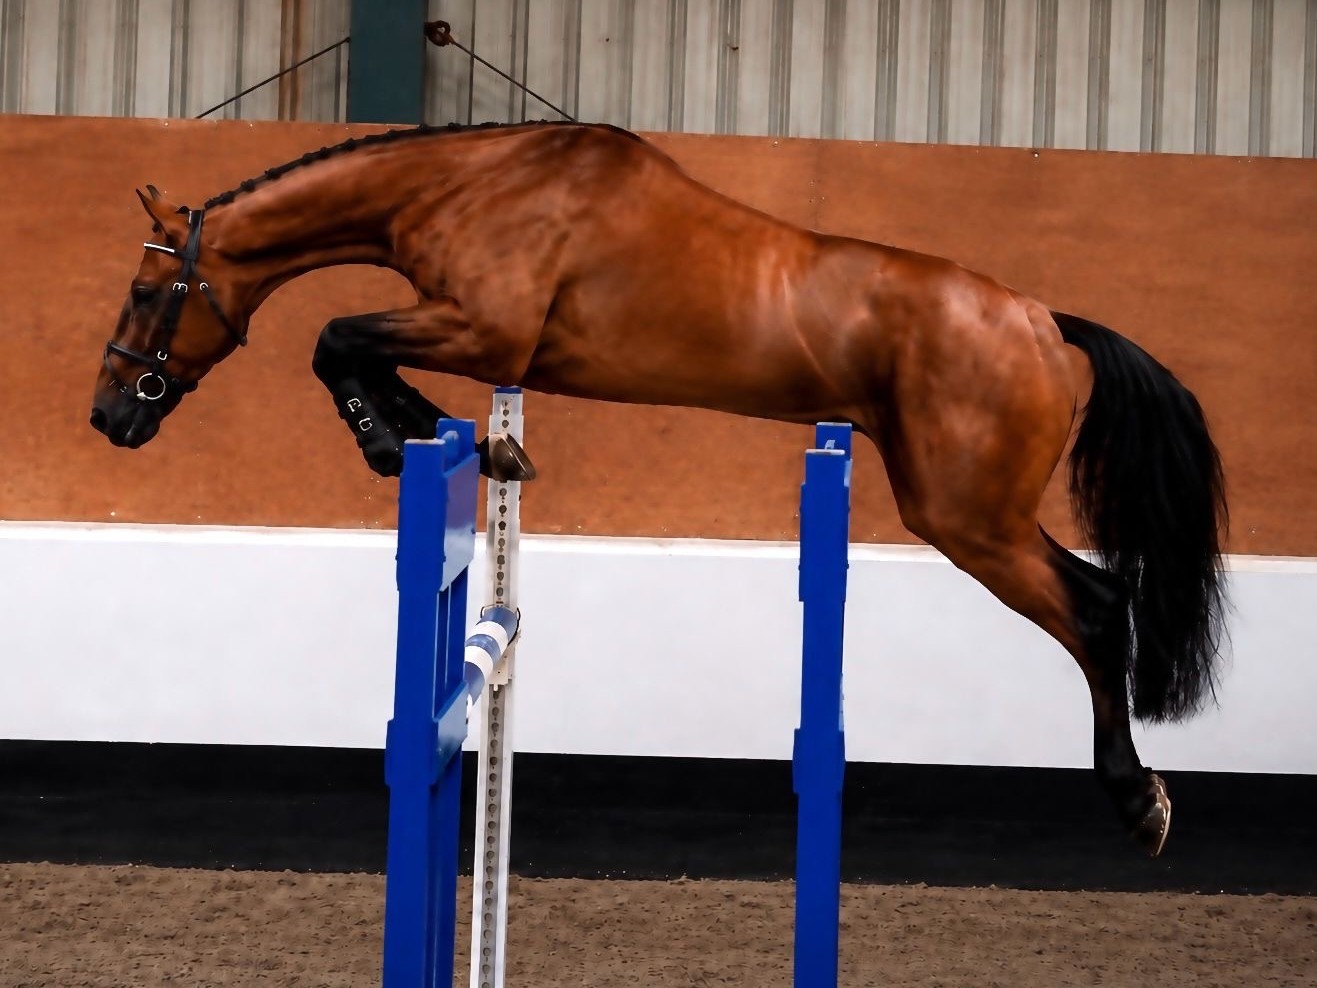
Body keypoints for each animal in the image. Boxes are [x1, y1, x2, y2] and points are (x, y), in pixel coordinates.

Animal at [91, 120, 1227, 857]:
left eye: (147, 291)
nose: (111, 416)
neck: (465, 183)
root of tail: (1038, 317)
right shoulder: (474, 337)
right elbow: (354, 346)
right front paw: (462, 441)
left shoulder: (484, 331)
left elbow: (336, 338)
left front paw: (396, 431)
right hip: (964, 508)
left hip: (969, 515)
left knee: (1098, 604)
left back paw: (1139, 802)